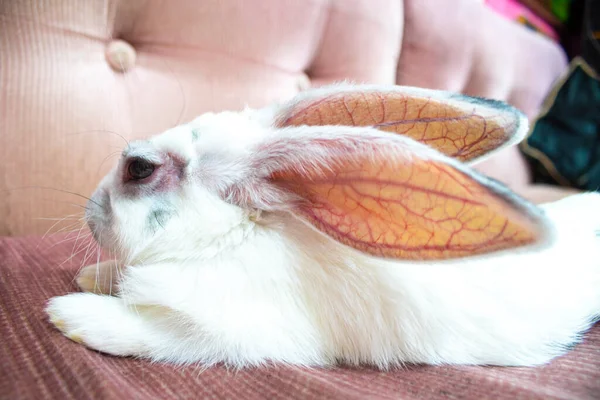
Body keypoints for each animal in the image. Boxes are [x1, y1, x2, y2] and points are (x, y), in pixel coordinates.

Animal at [45, 84, 600, 368]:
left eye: (139, 168)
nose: (91, 212)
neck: (234, 234)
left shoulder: (227, 331)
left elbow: (147, 331)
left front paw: (69, 313)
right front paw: (93, 277)